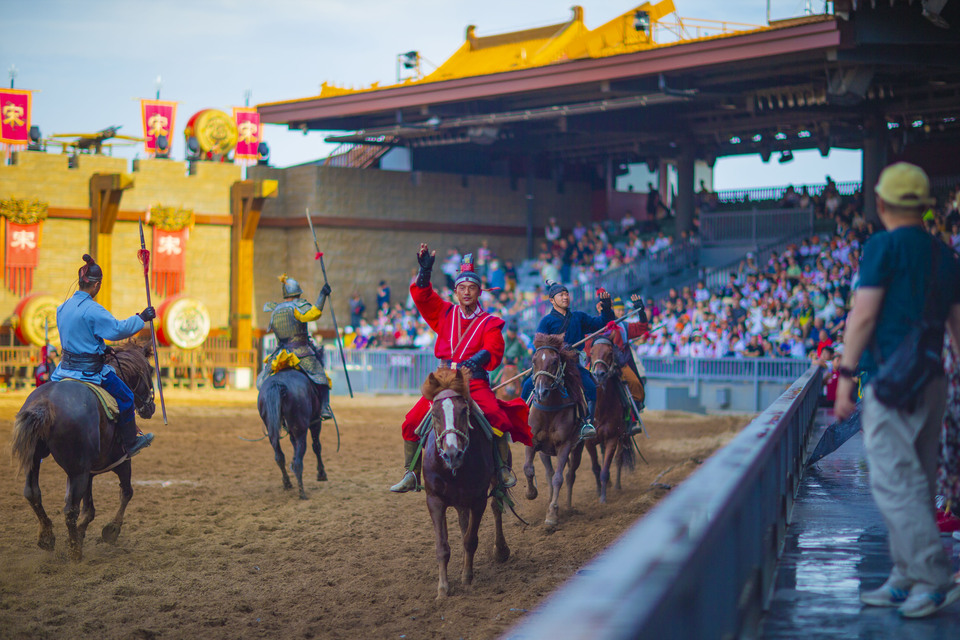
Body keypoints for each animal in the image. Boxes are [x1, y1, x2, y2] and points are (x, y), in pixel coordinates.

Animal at [10, 340, 158, 560]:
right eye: (150, 370)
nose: (151, 407)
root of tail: (45, 403)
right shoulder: (122, 462)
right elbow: (126, 493)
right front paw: (111, 530)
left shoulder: (90, 472)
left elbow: (89, 510)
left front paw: (80, 535)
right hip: (77, 472)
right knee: (70, 509)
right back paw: (75, 554)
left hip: (36, 460)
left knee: (32, 493)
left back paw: (47, 537)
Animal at [255, 364, 330, 500]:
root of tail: (278, 384)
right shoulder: (315, 423)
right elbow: (316, 446)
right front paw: (321, 474)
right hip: (301, 430)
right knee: (299, 461)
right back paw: (302, 493)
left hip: (273, 431)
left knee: (279, 457)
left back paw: (287, 483)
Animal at [422, 368, 510, 596]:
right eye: (434, 414)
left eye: (463, 411)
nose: (452, 453)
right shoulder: (434, 500)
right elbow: (442, 546)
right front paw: (443, 588)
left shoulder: (478, 500)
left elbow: (471, 540)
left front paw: (467, 577)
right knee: (464, 523)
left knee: (496, 507)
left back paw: (501, 550)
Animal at [524, 332, 584, 528]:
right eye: (534, 360)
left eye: (555, 361)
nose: (540, 392)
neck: (549, 409)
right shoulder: (533, 442)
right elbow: (528, 468)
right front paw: (531, 493)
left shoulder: (565, 445)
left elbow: (559, 478)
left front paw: (552, 514)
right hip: (545, 452)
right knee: (549, 474)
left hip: (578, 448)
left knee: (570, 475)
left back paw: (567, 506)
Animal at [580, 332, 632, 502]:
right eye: (592, 352)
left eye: (610, 353)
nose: (599, 374)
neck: (601, 409)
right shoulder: (589, 441)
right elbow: (596, 468)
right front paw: (598, 491)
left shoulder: (612, 438)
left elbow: (605, 469)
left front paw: (603, 498)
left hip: (623, 436)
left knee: (619, 459)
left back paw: (616, 485)